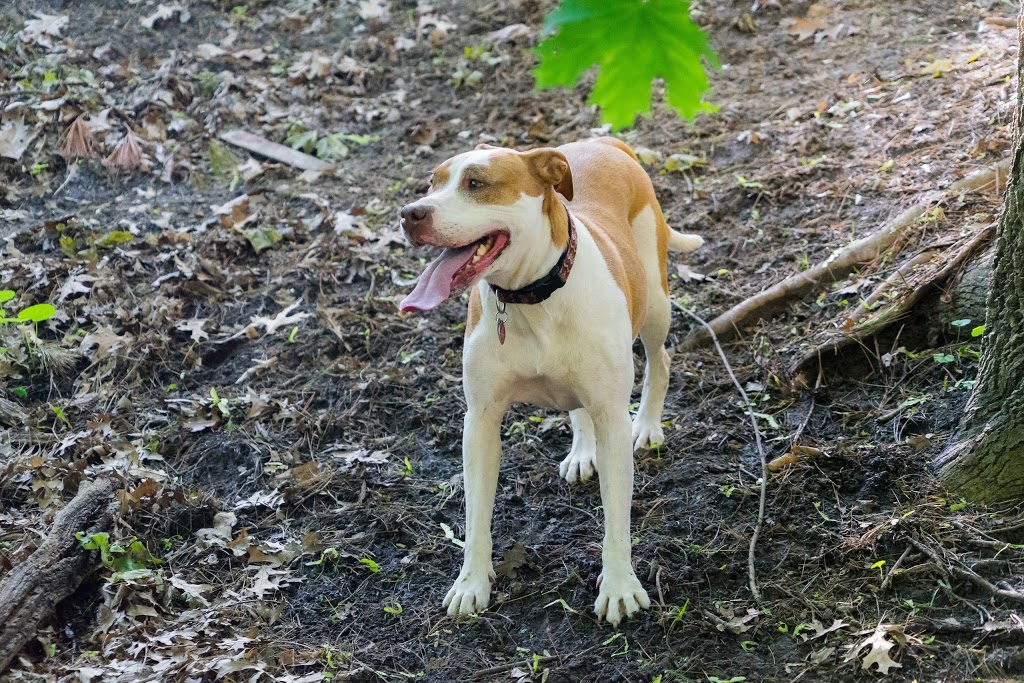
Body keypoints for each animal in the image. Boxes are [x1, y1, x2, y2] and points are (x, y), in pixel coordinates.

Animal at [399, 136, 704, 626]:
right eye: (432, 182)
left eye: (476, 183)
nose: (410, 213)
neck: (530, 297)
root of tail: (604, 141)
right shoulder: (480, 422)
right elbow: (476, 515)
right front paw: (471, 583)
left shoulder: (612, 416)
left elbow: (616, 516)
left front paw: (619, 586)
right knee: (578, 405)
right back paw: (582, 451)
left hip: (656, 305)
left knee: (661, 361)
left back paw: (649, 426)